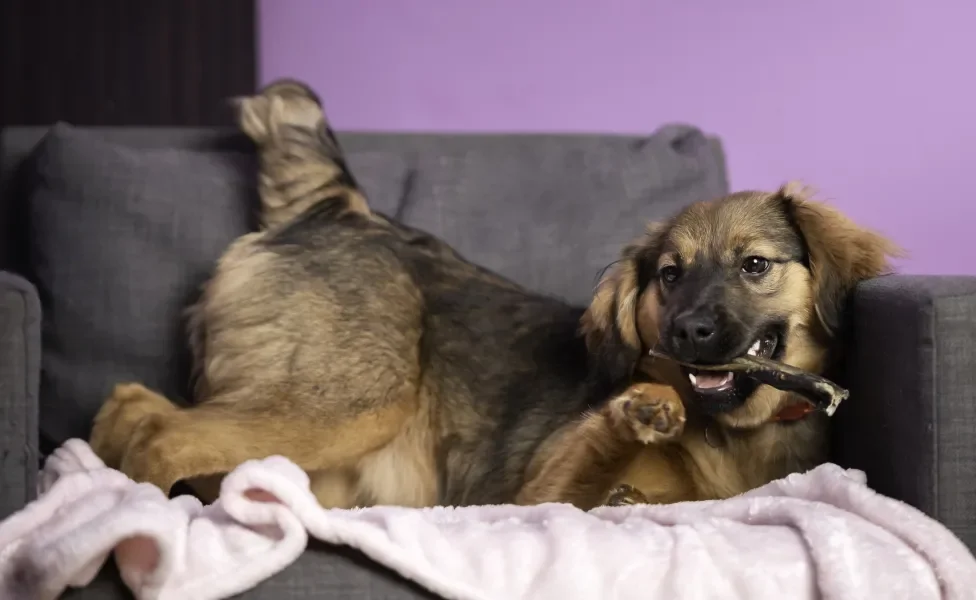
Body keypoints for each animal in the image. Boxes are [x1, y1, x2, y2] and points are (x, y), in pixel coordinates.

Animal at [89, 78, 900, 510]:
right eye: (670, 275)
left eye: (755, 265)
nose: (688, 334)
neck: (736, 435)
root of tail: (341, 208)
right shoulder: (535, 493)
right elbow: (594, 464)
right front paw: (638, 408)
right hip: (346, 400)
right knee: (162, 429)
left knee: (134, 404)